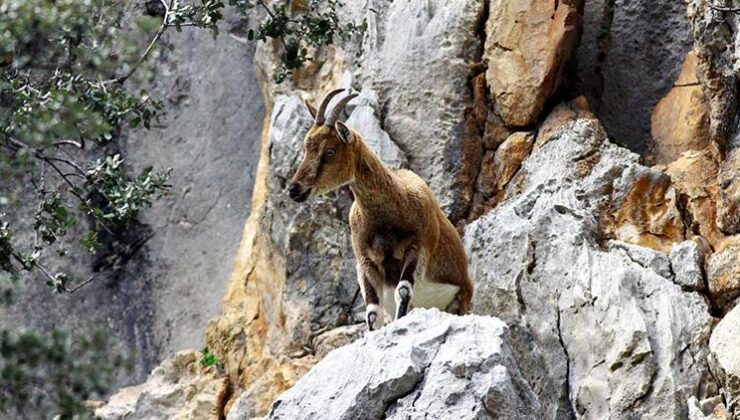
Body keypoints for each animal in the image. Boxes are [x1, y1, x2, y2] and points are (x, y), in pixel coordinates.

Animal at [286, 89, 472, 332]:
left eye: (329, 151)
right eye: (306, 148)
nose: (294, 189)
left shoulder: (419, 246)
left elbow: (403, 291)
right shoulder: (365, 261)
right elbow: (373, 312)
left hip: (463, 298)